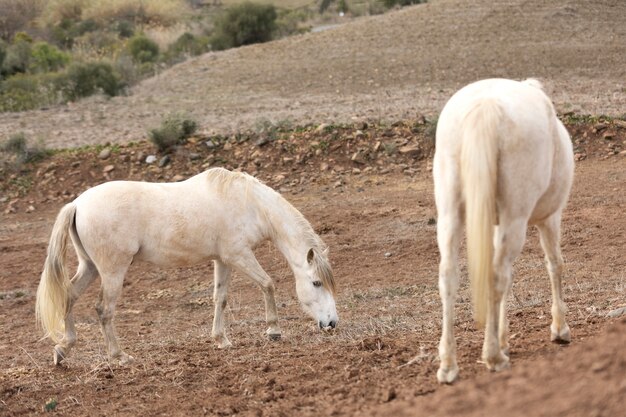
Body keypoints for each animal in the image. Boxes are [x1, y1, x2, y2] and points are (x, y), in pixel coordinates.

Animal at [36, 167, 334, 364]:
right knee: (103, 309)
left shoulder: (223, 260)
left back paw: (63, 350)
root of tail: (77, 204)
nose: (331, 323)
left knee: (69, 296)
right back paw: (120, 356)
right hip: (112, 272)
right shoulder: (239, 255)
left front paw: (221, 340)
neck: (249, 204)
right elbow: (268, 284)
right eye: (316, 283)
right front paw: (273, 331)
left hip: (89, 267)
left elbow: (220, 298)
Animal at [432, 79, 572, 384]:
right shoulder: (550, 218)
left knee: (449, 276)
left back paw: (449, 365)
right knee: (497, 276)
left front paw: (504, 335)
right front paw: (560, 329)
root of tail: (486, 106)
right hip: (515, 218)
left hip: (450, 215)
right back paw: (494, 357)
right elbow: (555, 265)